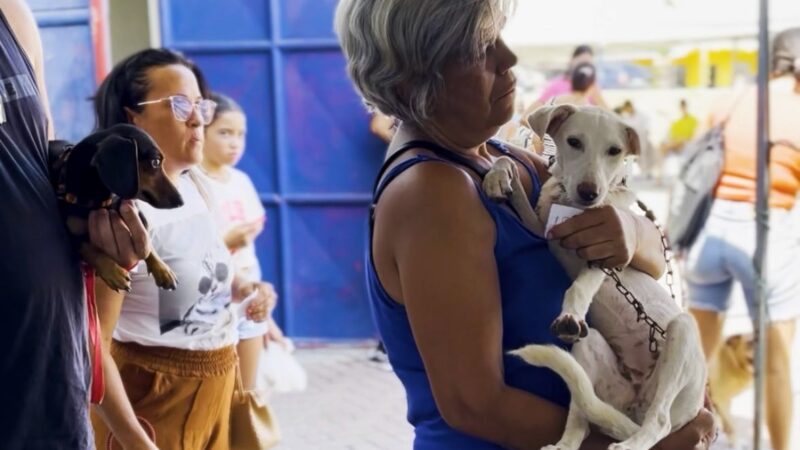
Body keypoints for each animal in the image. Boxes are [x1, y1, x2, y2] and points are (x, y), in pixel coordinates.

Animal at [484, 105, 704, 450]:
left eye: (615, 151)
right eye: (574, 142)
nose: (590, 193)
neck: (571, 204)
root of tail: (636, 409)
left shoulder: (605, 253)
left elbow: (579, 288)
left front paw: (570, 312)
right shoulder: (542, 230)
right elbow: (515, 186)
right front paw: (498, 173)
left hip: (681, 335)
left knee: (660, 421)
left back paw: (631, 445)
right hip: (586, 347)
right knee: (582, 415)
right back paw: (564, 444)